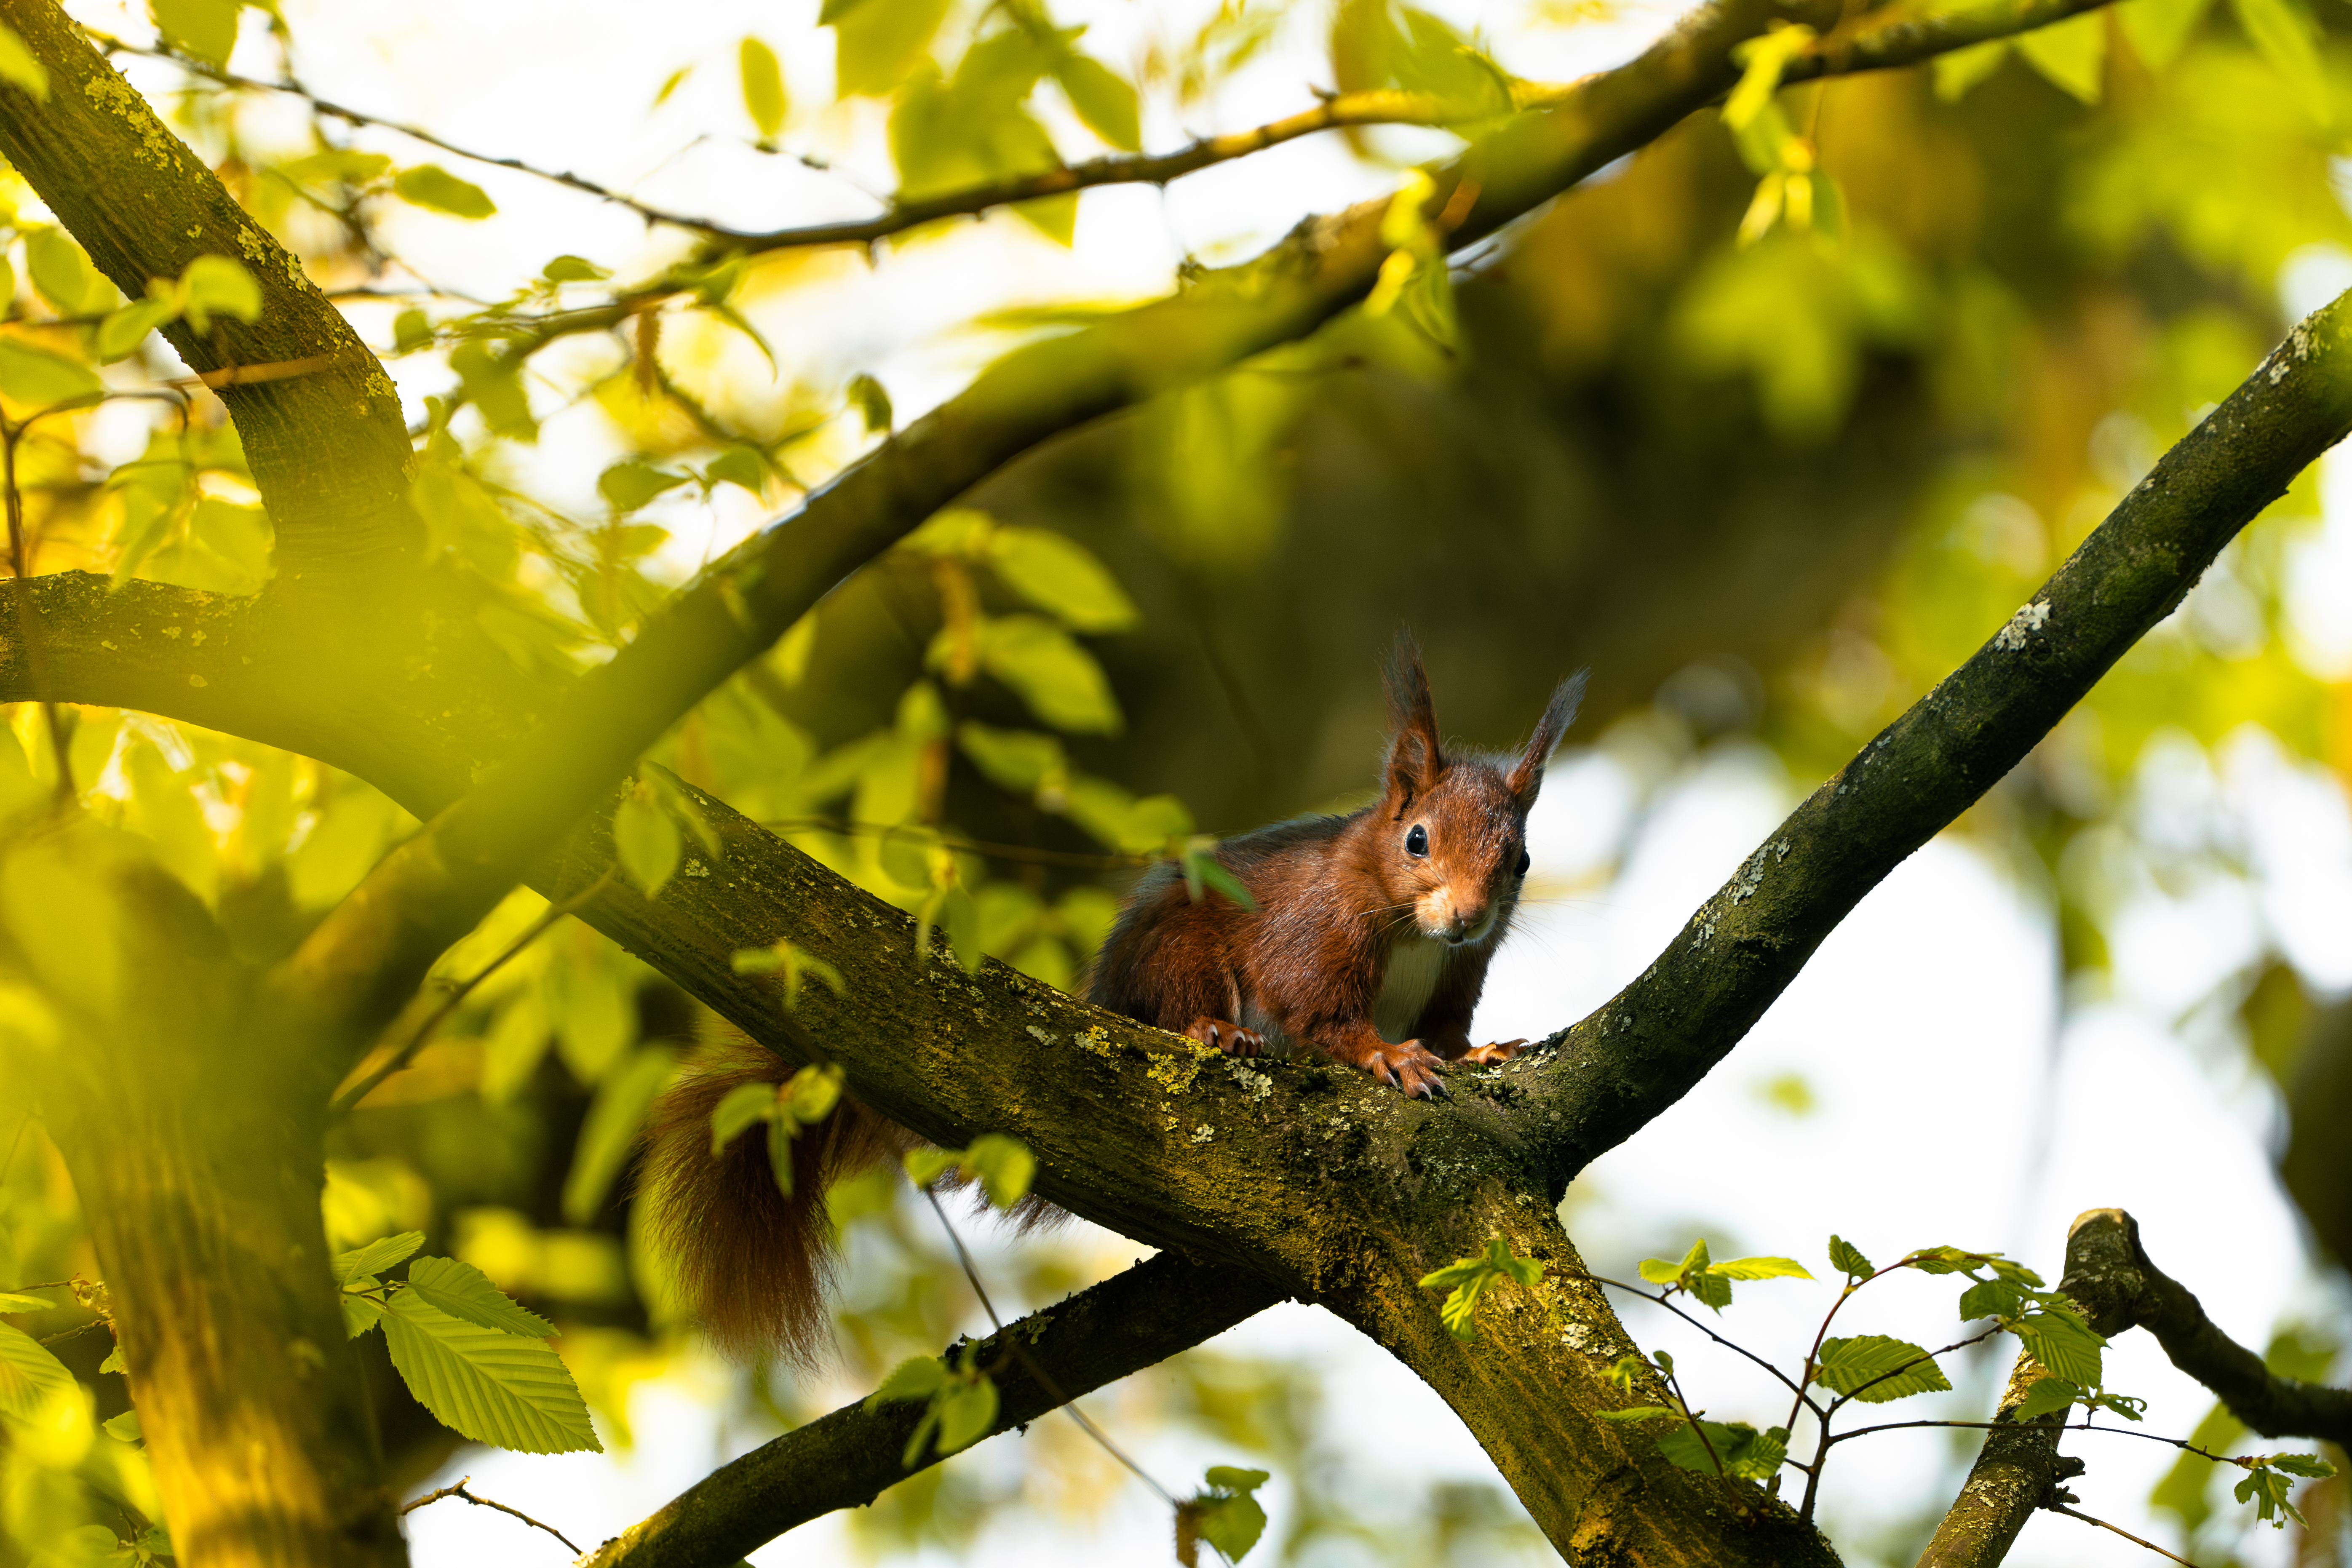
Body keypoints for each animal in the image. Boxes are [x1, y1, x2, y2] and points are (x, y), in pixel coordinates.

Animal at [639, 631, 1585, 1358]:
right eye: (1416, 839)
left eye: (1519, 860)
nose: (1464, 916)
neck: (1415, 936)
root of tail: (1110, 1000)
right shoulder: (1314, 935)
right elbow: (1320, 1012)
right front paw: (1387, 1055)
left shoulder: (1460, 973)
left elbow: (1452, 1027)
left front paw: (1480, 1049)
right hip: (1179, 954)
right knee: (1195, 1003)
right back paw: (1214, 1031)